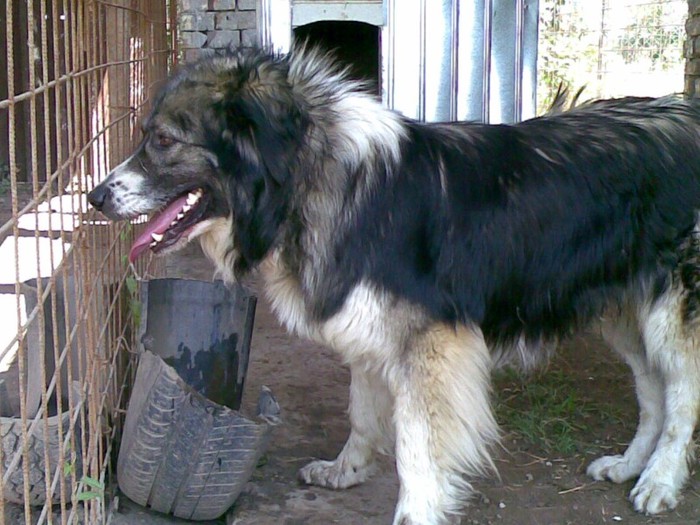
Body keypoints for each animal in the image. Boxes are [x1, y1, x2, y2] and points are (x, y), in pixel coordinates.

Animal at [89, 47, 700, 520]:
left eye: (164, 140)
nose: (94, 196)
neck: (317, 179)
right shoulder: (369, 333)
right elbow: (362, 415)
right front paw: (346, 470)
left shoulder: (431, 346)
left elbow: (416, 445)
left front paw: (415, 513)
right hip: (626, 312)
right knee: (653, 392)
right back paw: (628, 465)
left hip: (672, 315)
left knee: (681, 397)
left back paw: (660, 480)